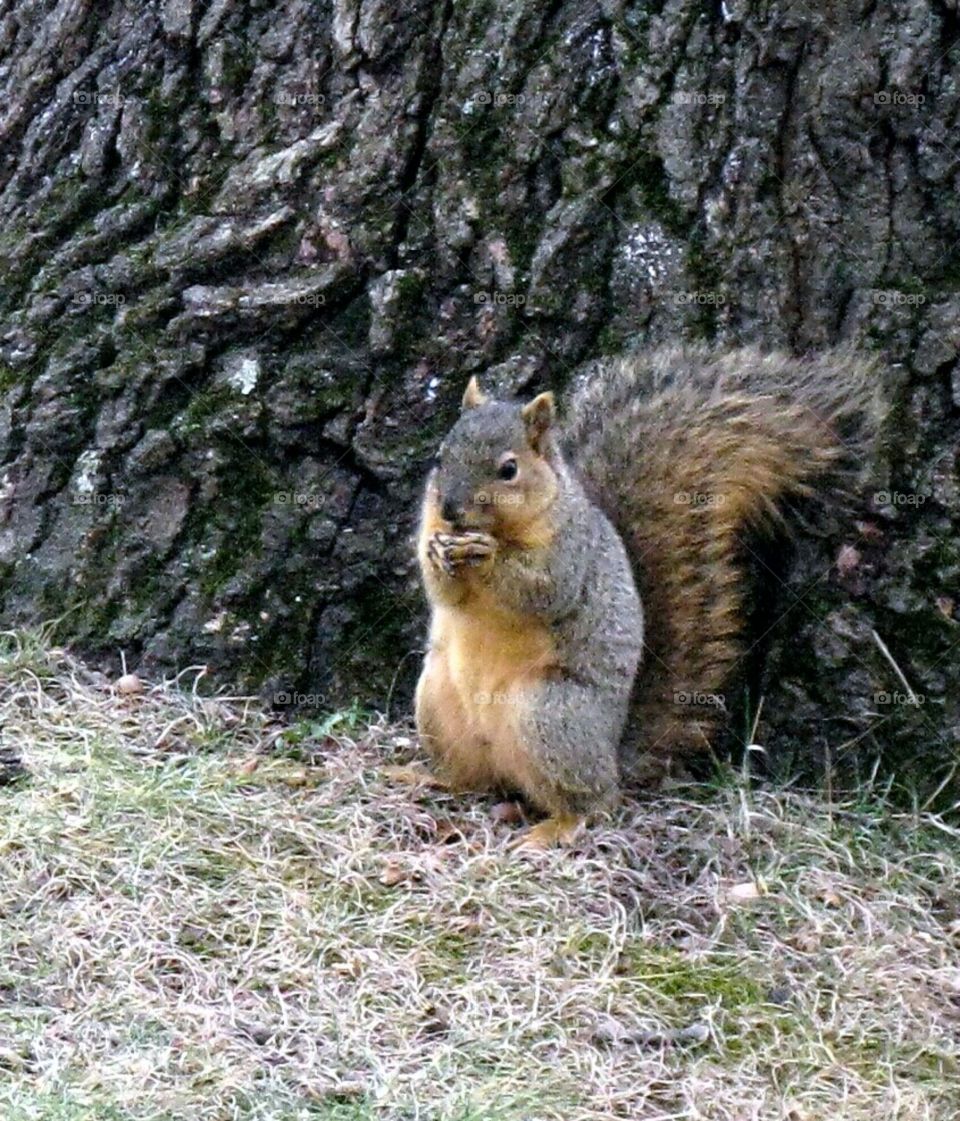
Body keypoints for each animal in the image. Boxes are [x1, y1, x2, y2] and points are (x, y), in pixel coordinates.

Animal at [412, 344, 880, 849]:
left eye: (508, 470)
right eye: (440, 456)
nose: (450, 509)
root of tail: (614, 756)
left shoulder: (571, 551)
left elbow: (544, 590)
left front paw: (486, 555)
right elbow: (443, 592)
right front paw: (438, 553)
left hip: (549, 715)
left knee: (596, 802)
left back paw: (557, 827)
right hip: (435, 702)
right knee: (472, 778)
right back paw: (429, 778)